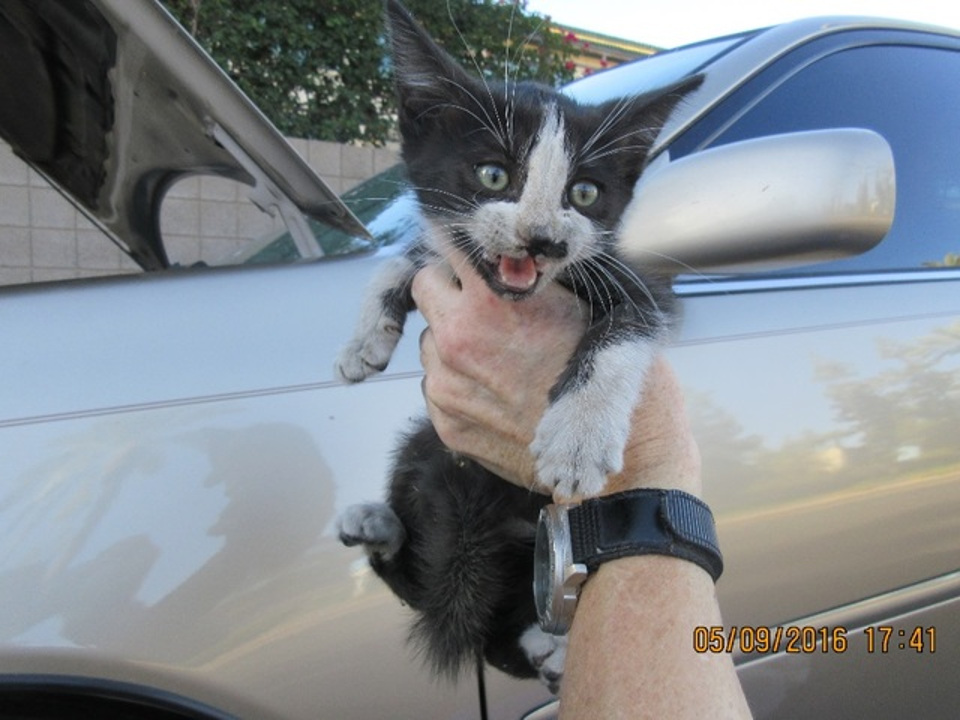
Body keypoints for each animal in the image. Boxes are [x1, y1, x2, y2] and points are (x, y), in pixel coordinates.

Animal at [338, 0, 696, 696]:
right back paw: (382, 527)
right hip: (430, 443)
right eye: (493, 174)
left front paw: (578, 438)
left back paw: (548, 647)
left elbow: (626, 330)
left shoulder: (638, 282)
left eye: (584, 193)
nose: (543, 239)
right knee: (451, 605)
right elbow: (411, 259)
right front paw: (364, 339)